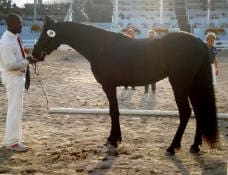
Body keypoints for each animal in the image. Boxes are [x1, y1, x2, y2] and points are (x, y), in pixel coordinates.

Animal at [32, 17, 219, 155]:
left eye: (46, 34)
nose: (34, 54)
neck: (100, 46)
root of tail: (199, 42)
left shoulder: (108, 86)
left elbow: (113, 112)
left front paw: (113, 140)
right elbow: (114, 111)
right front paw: (114, 138)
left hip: (179, 84)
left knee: (186, 112)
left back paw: (172, 147)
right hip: (191, 85)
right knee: (198, 111)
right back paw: (195, 146)